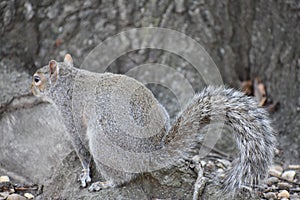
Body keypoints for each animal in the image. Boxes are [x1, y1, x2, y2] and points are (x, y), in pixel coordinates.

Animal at [31, 54, 276, 198]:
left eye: (36, 79)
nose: (30, 89)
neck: (68, 82)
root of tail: (149, 153)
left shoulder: (70, 117)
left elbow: (81, 149)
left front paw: (84, 173)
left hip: (103, 143)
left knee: (122, 178)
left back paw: (105, 184)